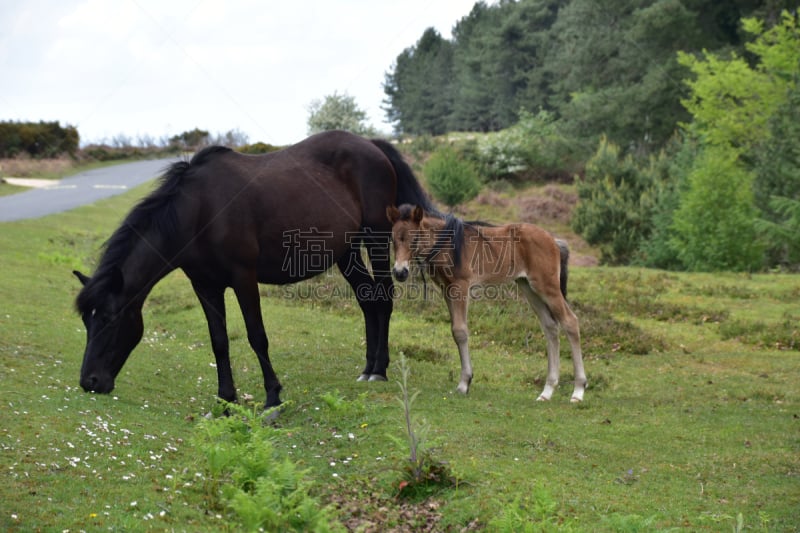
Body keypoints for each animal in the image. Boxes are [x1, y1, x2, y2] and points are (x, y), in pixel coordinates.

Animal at [75, 130, 434, 408]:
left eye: (109, 319)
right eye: (86, 322)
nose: (89, 381)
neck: (200, 211)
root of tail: (373, 146)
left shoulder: (243, 278)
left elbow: (256, 336)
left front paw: (273, 397)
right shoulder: (205, 286)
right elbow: (219, 341)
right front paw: (225, 399)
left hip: (375, 238)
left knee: (383, 299)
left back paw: (379, 370)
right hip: (345, 251)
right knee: (367, 300)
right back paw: (367, 366)